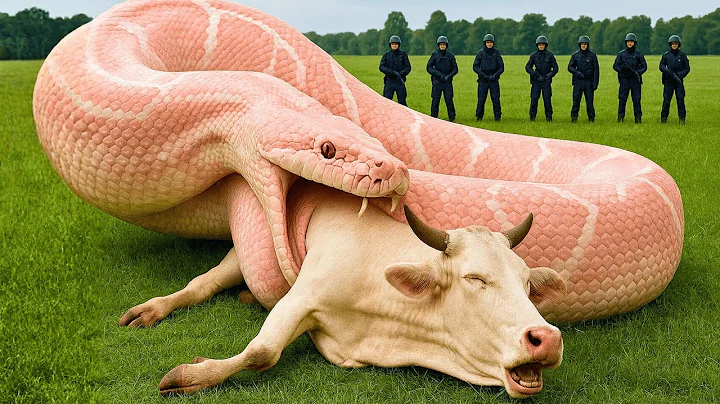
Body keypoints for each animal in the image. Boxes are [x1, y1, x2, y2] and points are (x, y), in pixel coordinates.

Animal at [119, 176, 567, 398]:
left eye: (528, 284)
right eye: (476, 278)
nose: (547, 338)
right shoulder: (300, 297)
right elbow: (262, 352)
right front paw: (192, 374)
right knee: (203, 283)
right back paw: (152, 309)